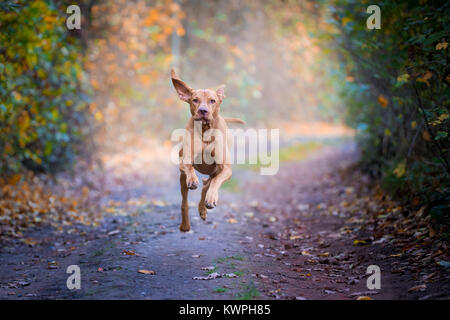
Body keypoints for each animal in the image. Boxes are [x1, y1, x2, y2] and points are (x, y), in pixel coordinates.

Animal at [171, 69, 244, 232]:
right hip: (182, 179)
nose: (203, 110)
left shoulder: (226, 169)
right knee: (185, 200)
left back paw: (204, 206)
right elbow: (188, 167)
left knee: (208, 184)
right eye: (195, 100)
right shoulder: (184, 161)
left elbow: (216, 182)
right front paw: (193, 179)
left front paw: (211, 199)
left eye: (212, 100)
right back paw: (185, 225)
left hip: (215, 170)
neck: (205, 130)